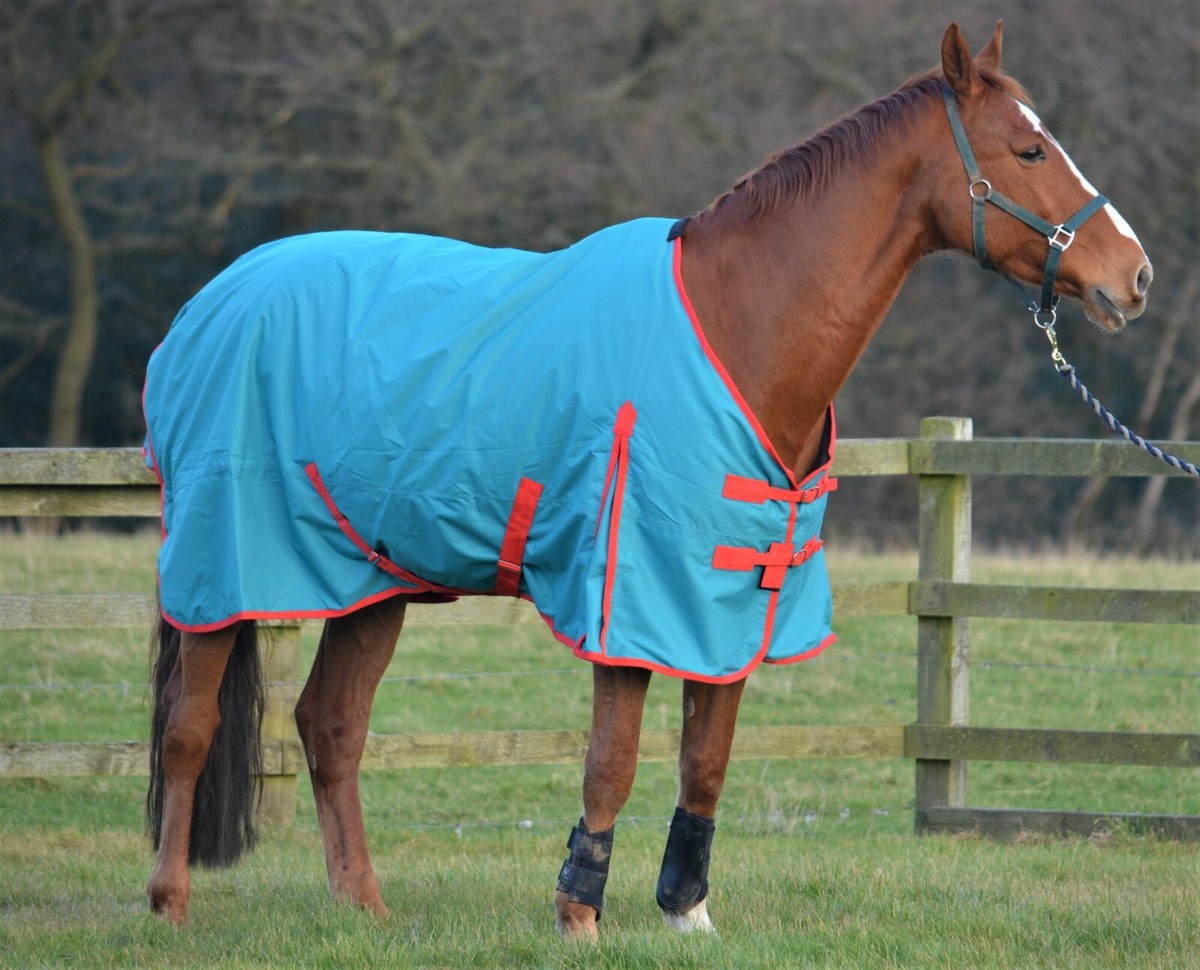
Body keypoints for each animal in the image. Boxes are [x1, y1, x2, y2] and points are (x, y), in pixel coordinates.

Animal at [143, 22, 1151, 939]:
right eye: (1028, 148)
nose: (1134, 276)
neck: (738, 326)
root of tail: (208, 306)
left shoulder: (732, 603)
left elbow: (705, 760)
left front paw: (686, 912)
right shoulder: (626, 603)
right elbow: (613, 760)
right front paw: (578, 915)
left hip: (375, 578)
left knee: (331, 728)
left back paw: (365, 909)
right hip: (224, 567)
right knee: (190, 728)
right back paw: (170, 905)